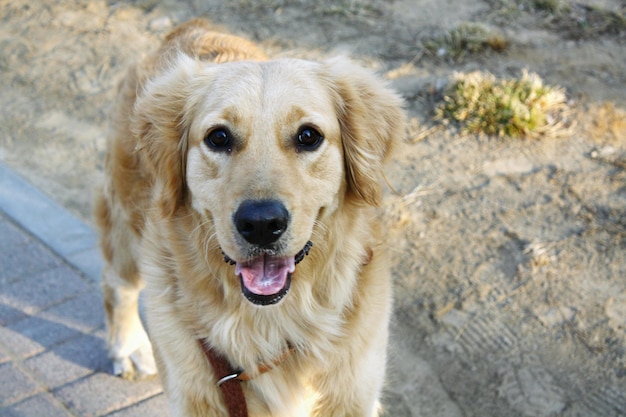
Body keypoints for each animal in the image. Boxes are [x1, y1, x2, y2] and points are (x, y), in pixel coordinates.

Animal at [94, 18, 404, 416]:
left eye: (308, 136)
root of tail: (188, 27)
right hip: (127, 223)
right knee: (117, 284)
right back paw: (128, 347)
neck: (272, 322)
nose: (261, 224)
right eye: (218, 137)